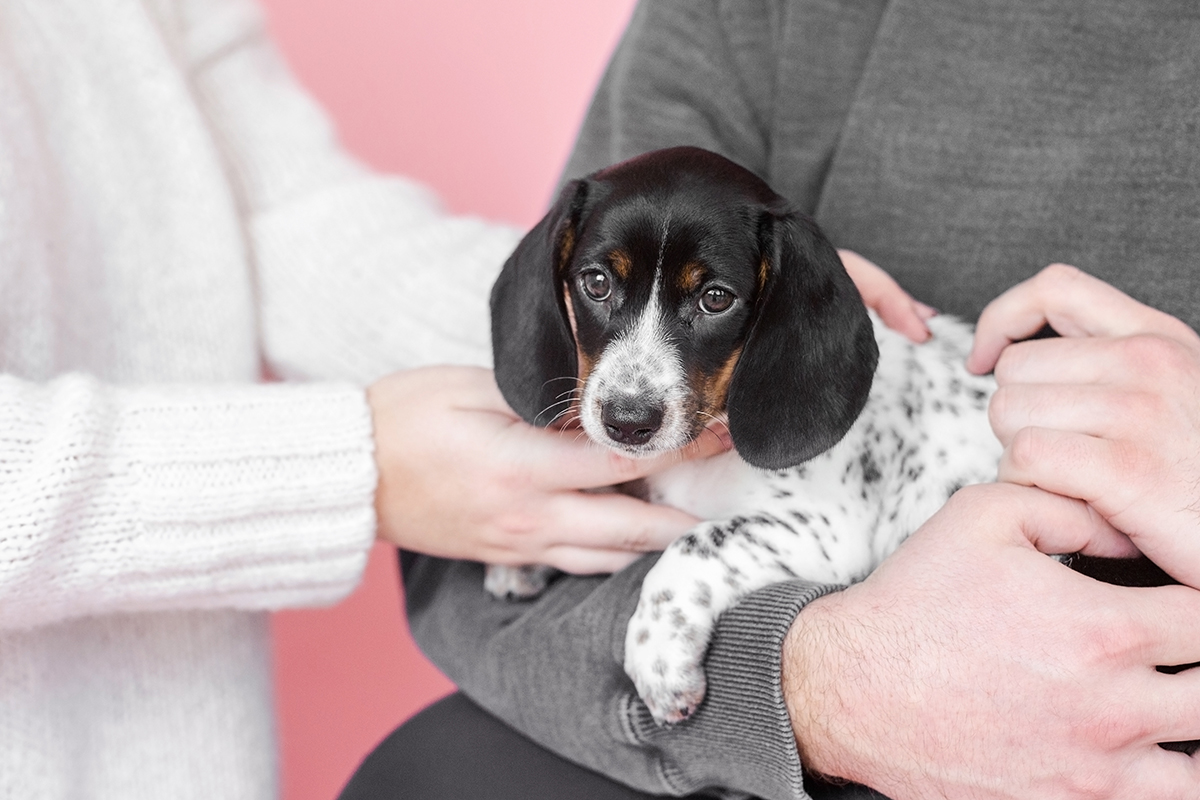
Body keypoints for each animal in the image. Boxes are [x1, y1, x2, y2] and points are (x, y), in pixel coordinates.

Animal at [482, 148, 998, 724]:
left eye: (715, 299)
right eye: (596, 283)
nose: (627, 421)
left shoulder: (822, 528)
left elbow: (695, 544)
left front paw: (658, 654)